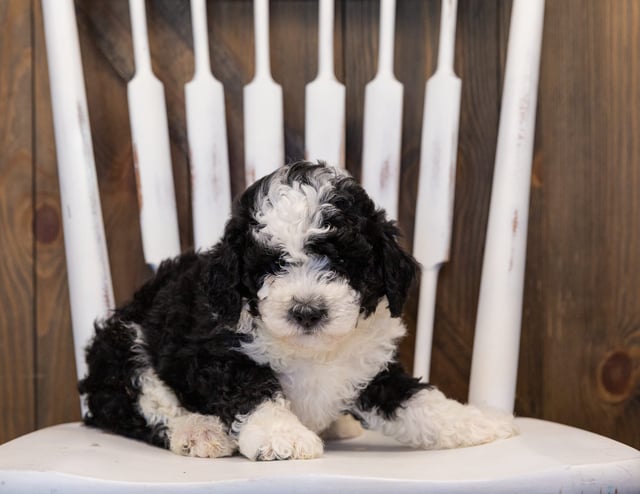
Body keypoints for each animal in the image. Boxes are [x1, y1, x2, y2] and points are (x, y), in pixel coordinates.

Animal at [79, 161, 516, 460]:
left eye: (342, 261)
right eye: (271, 265)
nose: (307, 311)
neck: (313, 349)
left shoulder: (373, 367)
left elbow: (417, 399)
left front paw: (480, 422)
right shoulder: (216, 354)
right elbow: (253, 392)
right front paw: (280, 435)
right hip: (125, 347)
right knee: (140, 408)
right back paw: (199, 431)